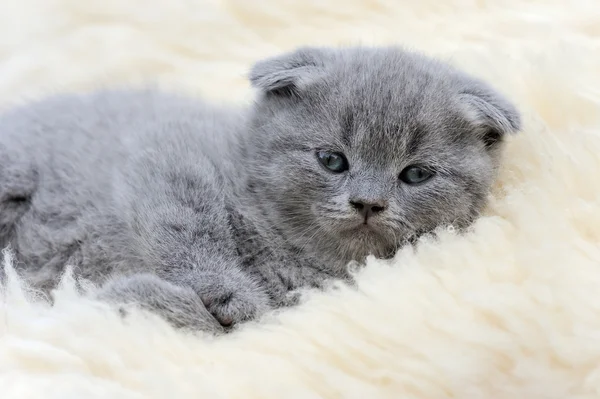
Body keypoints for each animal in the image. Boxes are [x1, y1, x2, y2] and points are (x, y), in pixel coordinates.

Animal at [0, 47, 520, 334]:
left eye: (415, 175)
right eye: (332, 160)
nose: (367, 203)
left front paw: (127, 299)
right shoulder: (167, 154)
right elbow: (189, 232)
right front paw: (228, 292)